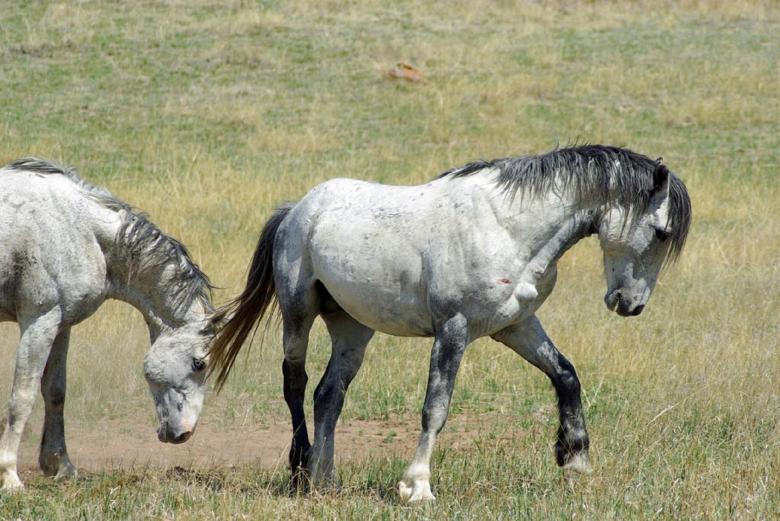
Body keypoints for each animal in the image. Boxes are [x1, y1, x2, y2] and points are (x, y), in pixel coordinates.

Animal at [0, 159, 214, 490]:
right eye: (199, 363)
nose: (183, 434)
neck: (81, 229)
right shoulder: (39, 321)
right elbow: (21, 398)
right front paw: (9, 476)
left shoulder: (61, 325)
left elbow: (55, 391)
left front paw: (60, 465)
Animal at [208, 144, 691, 502]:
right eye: (662, 232)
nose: (631, 305)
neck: (507, 227)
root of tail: (297, 210)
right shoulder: (453, 329)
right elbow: (435, 408)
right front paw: (416, 487)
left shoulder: (516, 325)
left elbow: (566, 375)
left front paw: (574, 460)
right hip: (298, 313)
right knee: (295, 383)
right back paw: (299, 470)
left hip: (352, 327)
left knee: (329, 394)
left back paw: (324, 479)